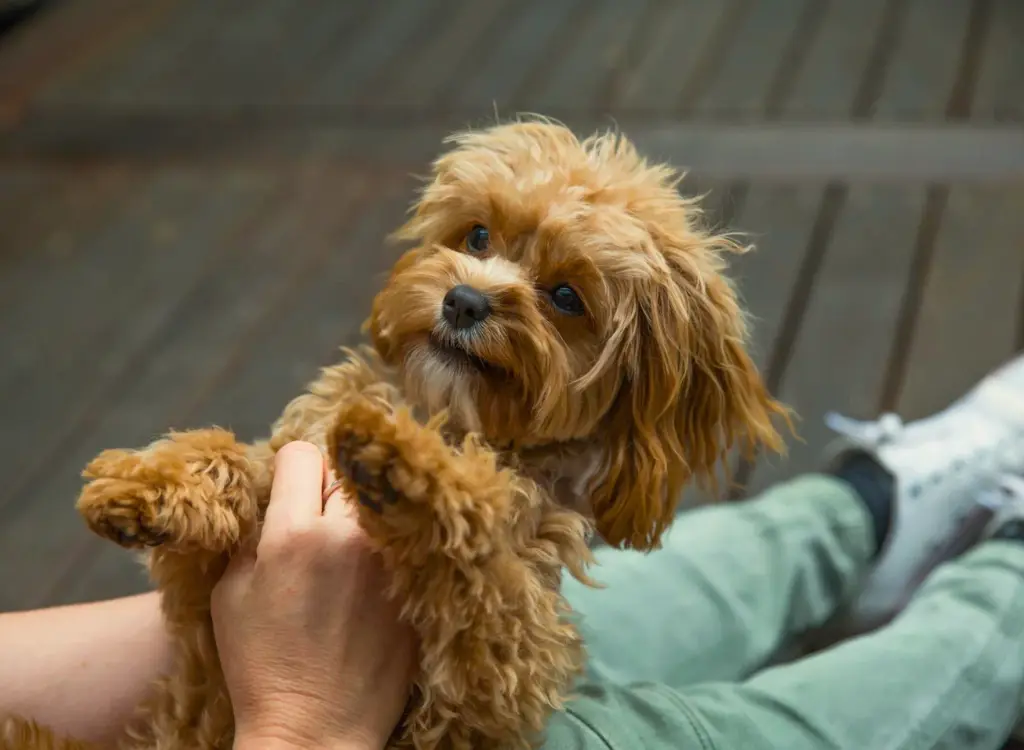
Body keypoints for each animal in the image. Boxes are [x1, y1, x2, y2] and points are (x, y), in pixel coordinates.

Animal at [0, 121, 786, 750]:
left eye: (567, 297)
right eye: (477, 235)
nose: (464, 299)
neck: (454, 416)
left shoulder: (491, 689)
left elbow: (486, 578)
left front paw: (404, 461)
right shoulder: (205, 601)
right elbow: (238, 462)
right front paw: (148, 483)